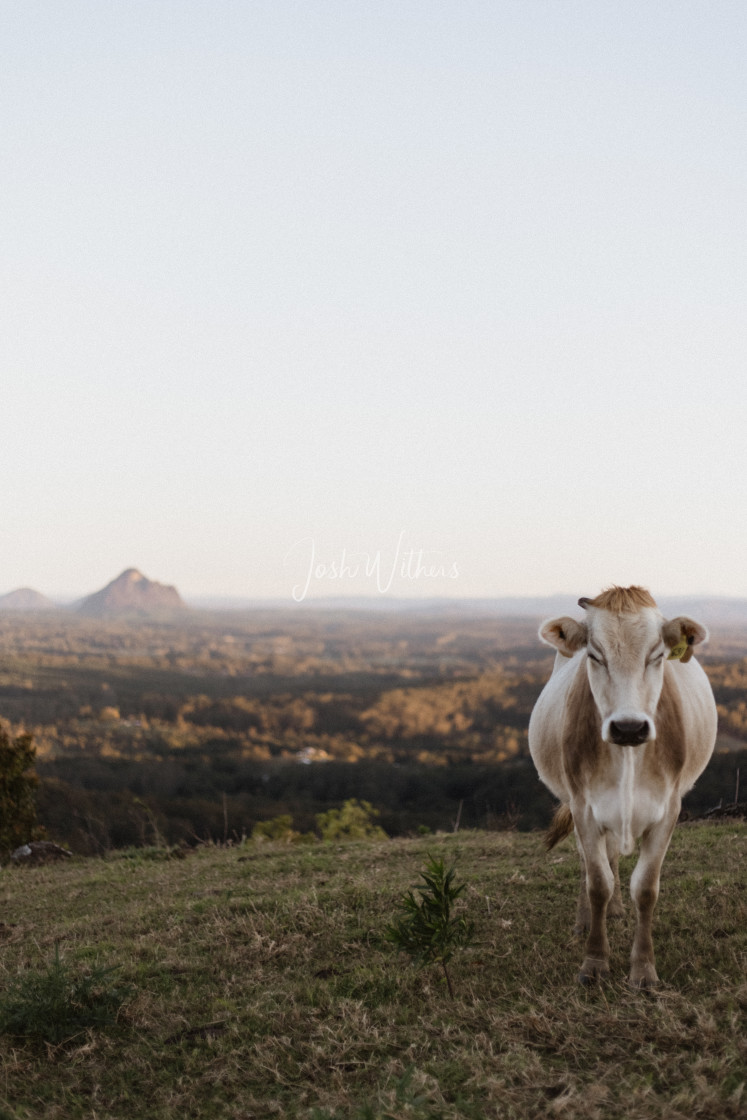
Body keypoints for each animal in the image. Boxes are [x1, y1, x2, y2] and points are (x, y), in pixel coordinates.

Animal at [528, 582, 716, 985]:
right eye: (595, 655)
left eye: (657, 655)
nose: (629, 727)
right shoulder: (584, 806)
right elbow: (597, 881)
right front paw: (594, 963)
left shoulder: (668, 809)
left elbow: (645, 888)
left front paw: (643, 969)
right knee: (591, 863)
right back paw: (587, 920)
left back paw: (614, 911)